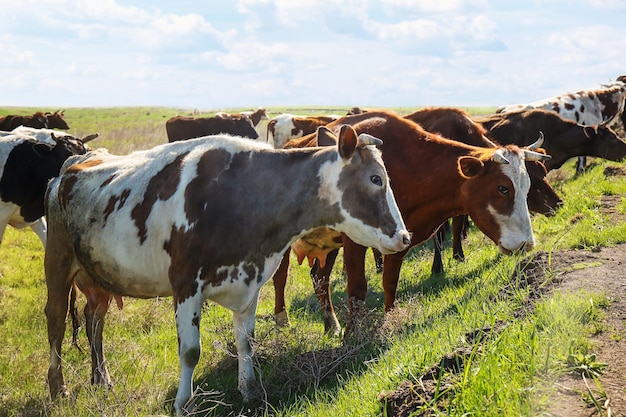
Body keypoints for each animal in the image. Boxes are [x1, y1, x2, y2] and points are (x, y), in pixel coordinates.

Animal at [45, 124, 410, 412]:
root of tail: (68, 168)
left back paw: (101, 378)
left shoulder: (251, 280)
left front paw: (249, 390)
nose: (404, 237)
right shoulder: (185, 284)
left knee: (95, 320)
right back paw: (57, 387)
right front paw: (184, 403)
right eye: (376, 178)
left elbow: (246, 342)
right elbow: (190, 351)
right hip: (58, 262)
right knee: (56, 322)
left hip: (99, 274)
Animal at [272, 109, 544, 334]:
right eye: (503, 188)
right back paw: (282, 322)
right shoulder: (354, 242)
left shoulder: (400, 239)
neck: (410, 167)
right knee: (281, 277)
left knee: (320, 277)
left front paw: (389, 321)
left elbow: (390, 282)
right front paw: (353, 336)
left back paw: (331, 324)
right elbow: (357, 288)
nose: (526, 243)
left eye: (526, 186)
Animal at [402, 107, 564, 274]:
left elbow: (457, 225)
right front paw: (437, 266)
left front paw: (458, 255)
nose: (558, 203)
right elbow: (439, 233)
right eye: (534, 182)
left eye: (542, 171)